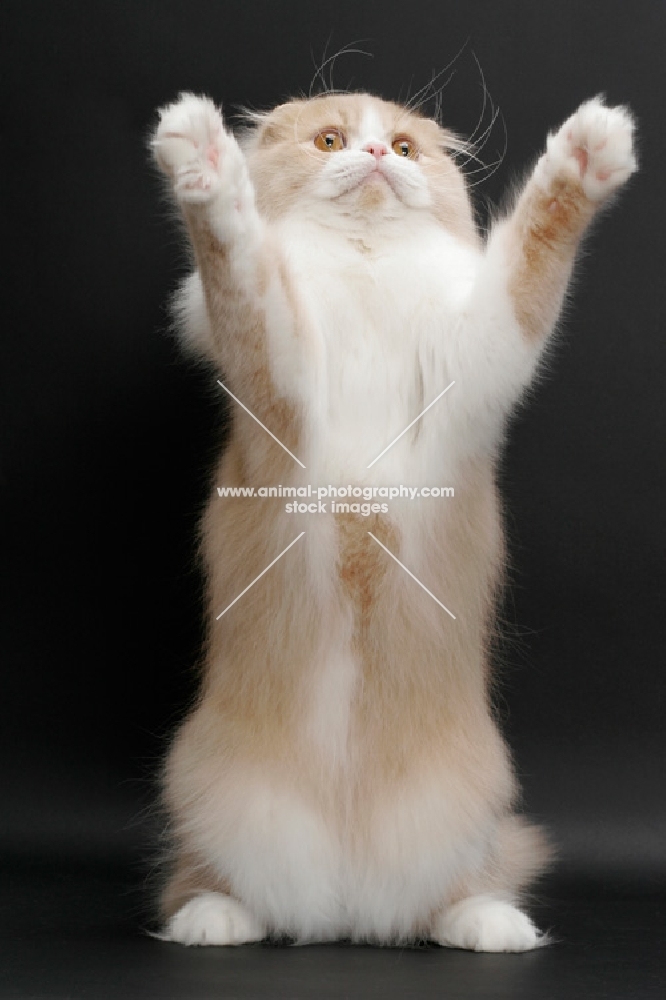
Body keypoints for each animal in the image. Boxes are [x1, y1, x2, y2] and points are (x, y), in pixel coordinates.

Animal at [149, 82, 632, 948]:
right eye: (331, 140)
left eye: (404, 150)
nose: (375, 156)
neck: (366, 276)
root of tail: (346, 908)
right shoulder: (279, 374)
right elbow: (240, 264)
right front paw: (202, 160)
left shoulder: (478, 365)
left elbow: (531, 261)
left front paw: (586, 155)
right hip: (205, 789)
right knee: (206, 883)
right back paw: (217, 921)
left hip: (473, 808)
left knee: (447, 898)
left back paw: (493, 927)